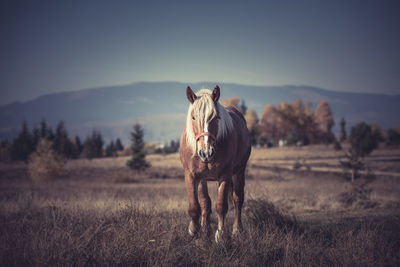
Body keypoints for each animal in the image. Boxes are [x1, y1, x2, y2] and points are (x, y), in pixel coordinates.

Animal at [180, 86, 252, 243]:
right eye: (193, 117)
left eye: (216, 117)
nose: (206, 153)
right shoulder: (191, 176)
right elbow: (196, 206)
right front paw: (196, 231)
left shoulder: (225, 175)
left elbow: (221, 206)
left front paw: (220, 234)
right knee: (205, 203)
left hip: (239, 172)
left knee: (238, 199)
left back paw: (237, 230)